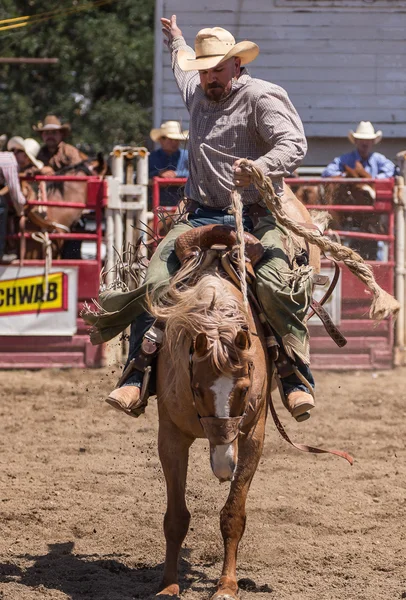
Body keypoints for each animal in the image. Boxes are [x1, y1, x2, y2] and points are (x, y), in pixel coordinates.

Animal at [147, 188, 318, 600]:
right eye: (195, 387)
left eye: (242, 387)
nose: (224, 464)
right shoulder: (170, 435)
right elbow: (176, 517)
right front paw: (169, 584)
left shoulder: (253, 434)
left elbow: (233, 515)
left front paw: (226, 586)